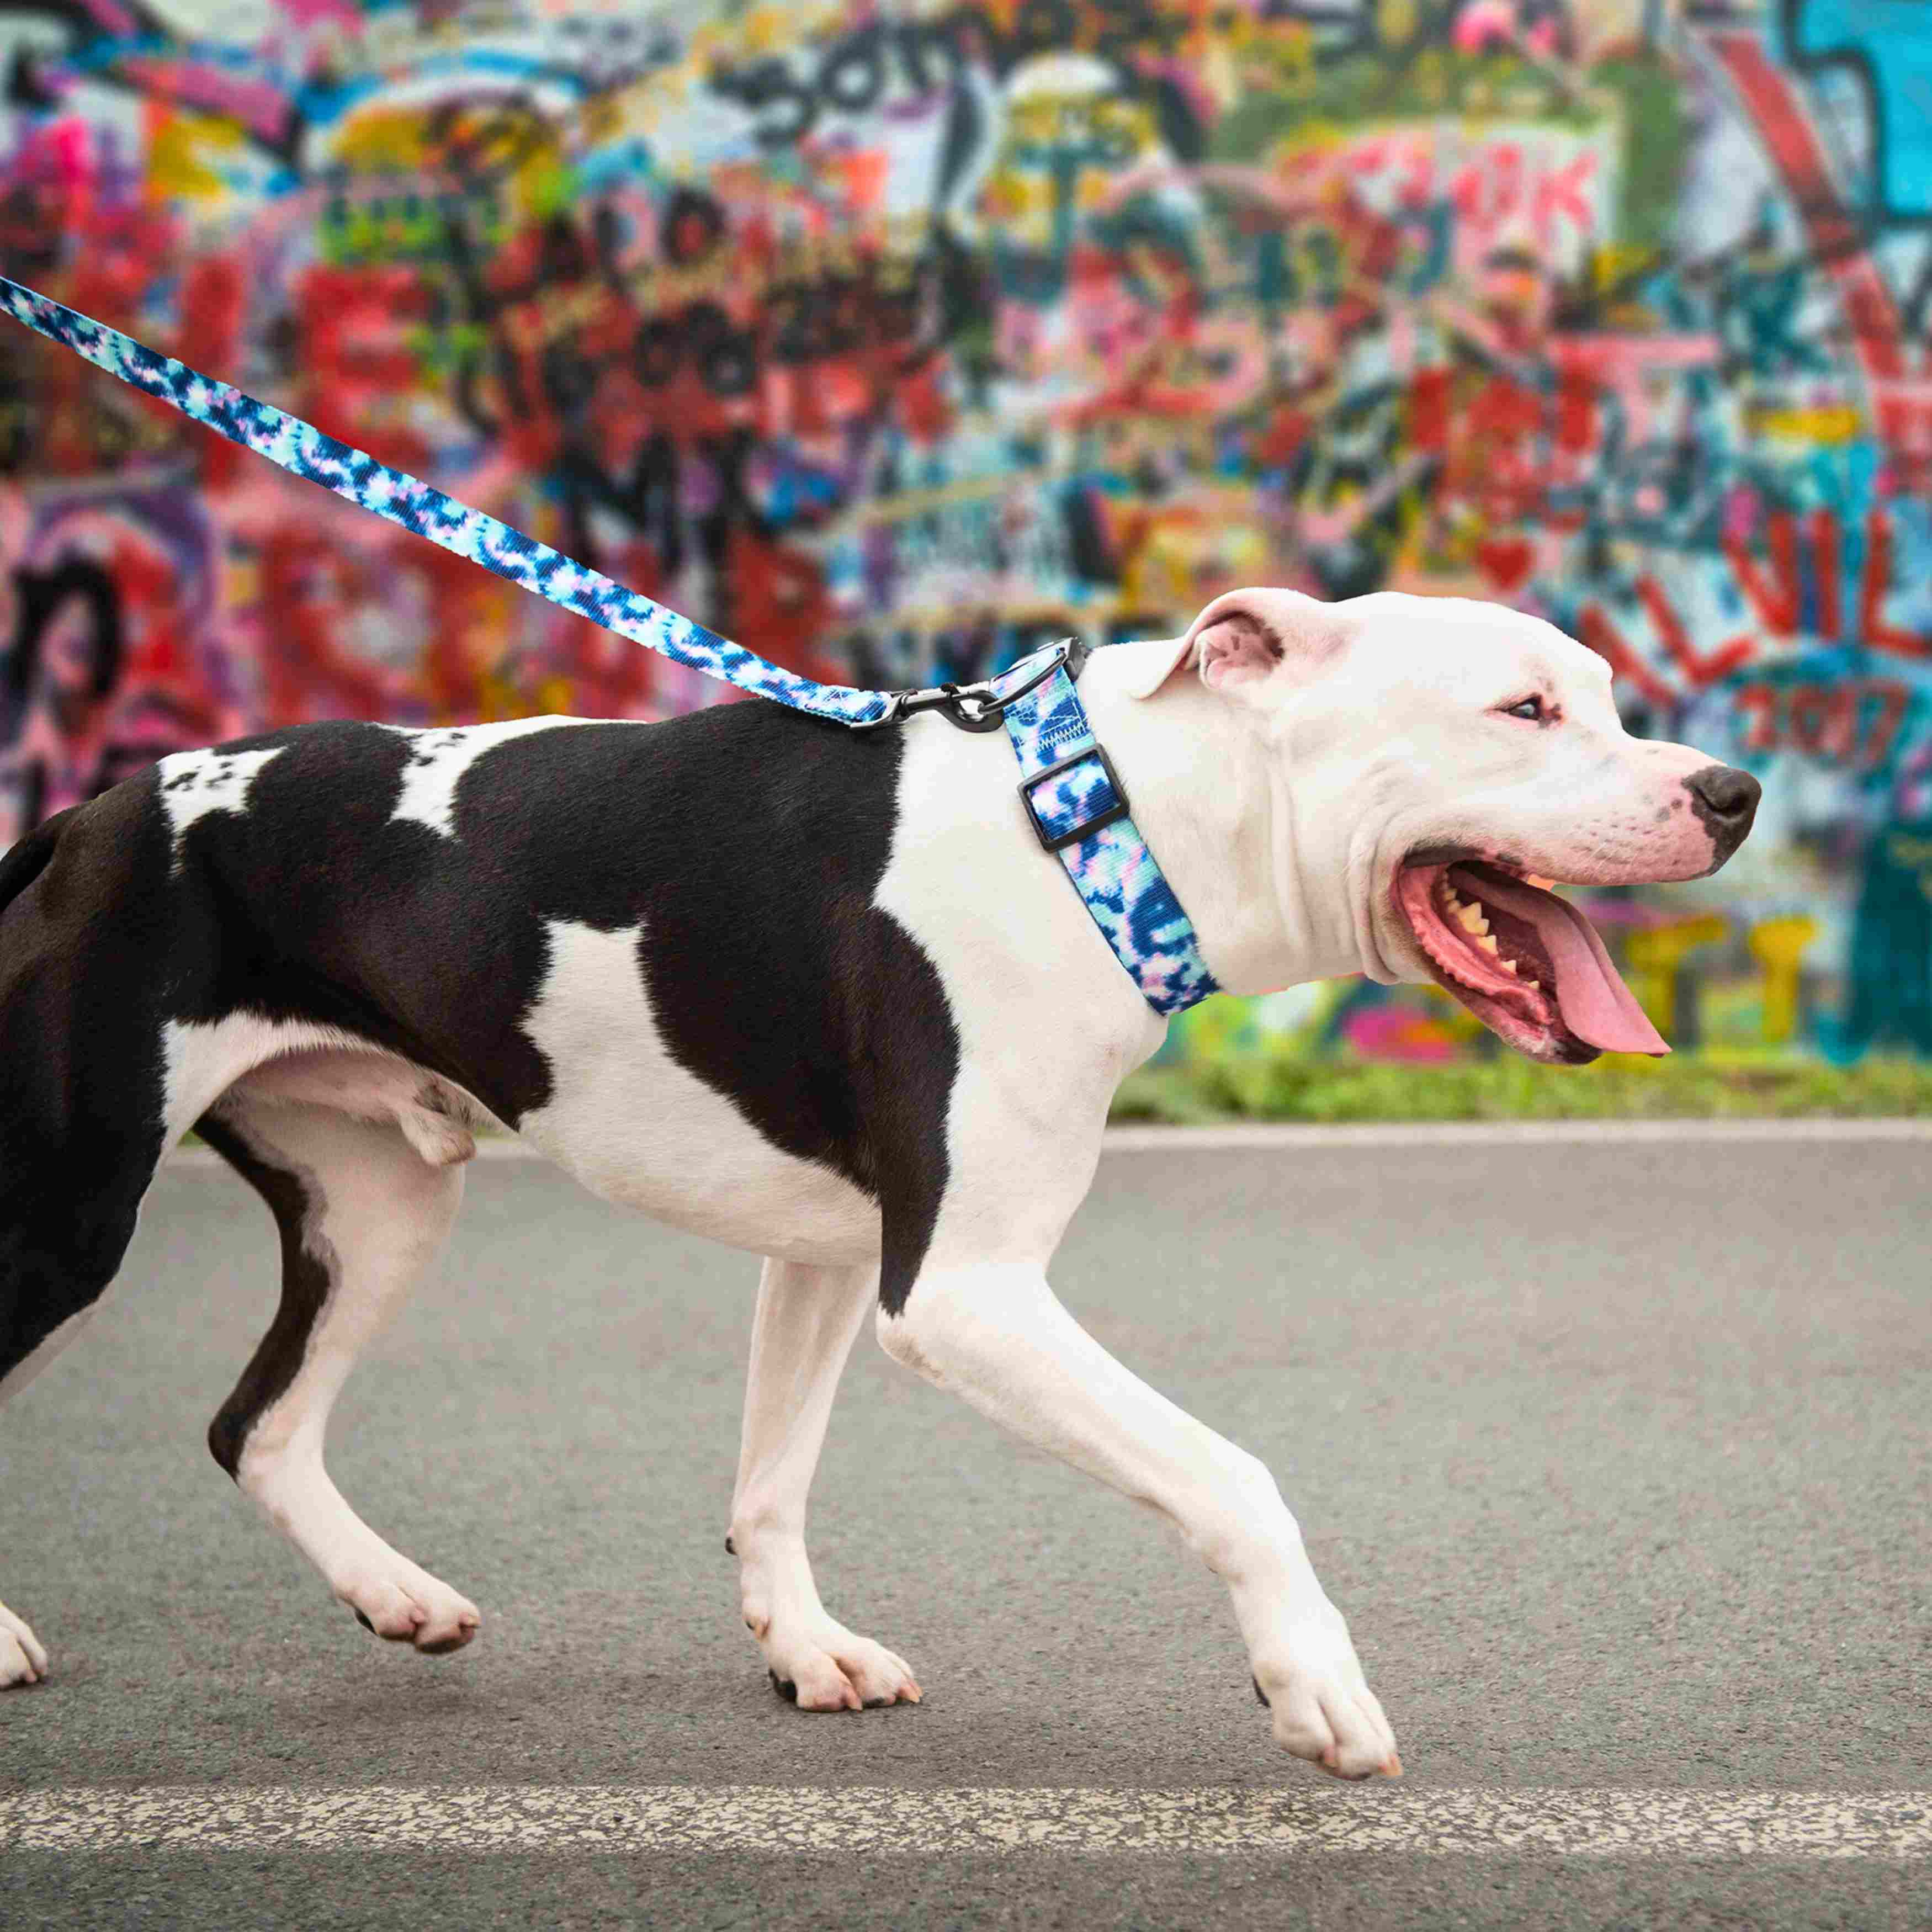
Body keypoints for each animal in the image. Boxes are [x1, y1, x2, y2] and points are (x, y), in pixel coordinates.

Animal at [0, 591, 1754, 1777]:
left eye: (1606, 701)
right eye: (1523, 709)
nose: (1731, 791)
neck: (1095, 826)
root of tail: (94, 806)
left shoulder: (834, 1254)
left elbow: (771, 1480)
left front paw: (806, 1651)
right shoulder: (965, 1290)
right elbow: (1234, 1474)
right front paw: (1311, 1684)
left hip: (380, 1204)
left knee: (260, 1424)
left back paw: (399, 1595)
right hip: (67, 1208)